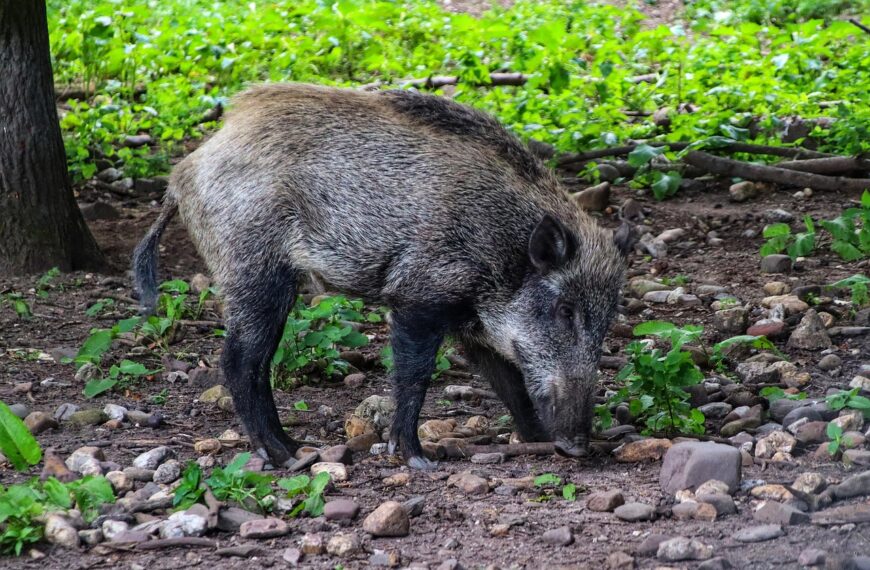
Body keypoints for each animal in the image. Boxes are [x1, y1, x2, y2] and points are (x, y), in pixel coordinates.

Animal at [133, 83, 632, 470]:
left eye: (607, 320)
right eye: (564, 310)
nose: (578, 447)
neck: (503, 250)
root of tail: (182, 173)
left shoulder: (473, 326)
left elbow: (509, 381)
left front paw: (535, 440)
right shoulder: (418, 297)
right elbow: (414, 375)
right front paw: (416, 458)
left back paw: (295, 448)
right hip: (254, 270)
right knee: (241, 362)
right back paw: (285, 455)